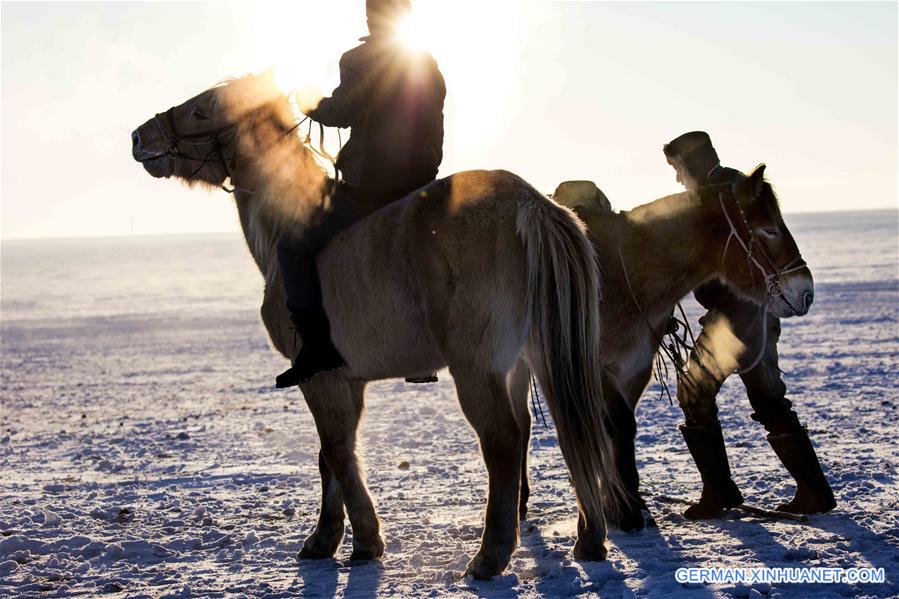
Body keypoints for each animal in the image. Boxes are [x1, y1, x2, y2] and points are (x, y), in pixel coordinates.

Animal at [130, 72, 628, 580]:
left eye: (201, 111)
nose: (139, 137)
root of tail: (530, 203)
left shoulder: (319, 378)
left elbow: (335, 452)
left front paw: (363, 540)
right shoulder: (344, 380)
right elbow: (332, 457)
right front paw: (327, 538)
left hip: (477, 367)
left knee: (504, 440)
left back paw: (491, 554)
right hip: (537, 359)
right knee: (570, 429)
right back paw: (589, 539)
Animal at [548, 172, 816, 528]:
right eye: (769, 229)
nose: (806, 292)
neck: (621, 272)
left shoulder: (636, 367)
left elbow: (619, 430)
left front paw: (624, 502)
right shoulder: (596, 366)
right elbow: (616, 425)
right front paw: (625, 511)